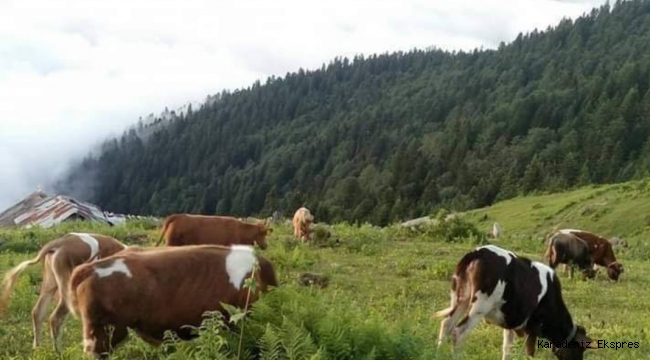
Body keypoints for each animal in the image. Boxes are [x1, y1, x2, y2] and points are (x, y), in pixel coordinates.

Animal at [436, 245, 592, 360]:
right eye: (579, 350)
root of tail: (478, 252)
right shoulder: (532, 327)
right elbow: (530, 353)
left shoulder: (510, 323)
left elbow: (507, 348)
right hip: (480, 306)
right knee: (458, 332)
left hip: (460, 299)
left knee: (446, 324)